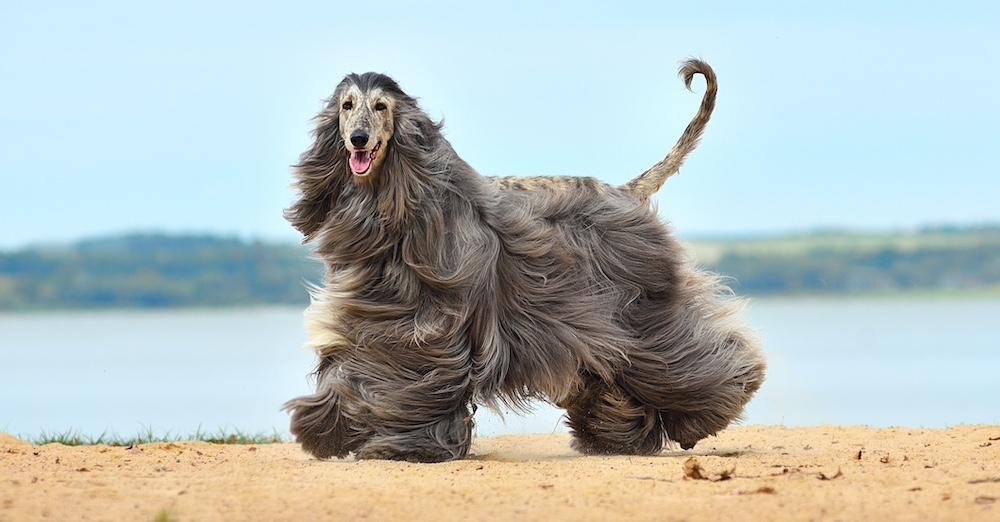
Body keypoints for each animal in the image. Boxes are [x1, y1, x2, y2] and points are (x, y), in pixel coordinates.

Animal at [282, 59, 764, 462]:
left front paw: (385, 442)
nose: (358, 139)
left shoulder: (425, 326)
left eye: (380, 106)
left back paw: (706, 411)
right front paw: (327, 428)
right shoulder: (378, 311)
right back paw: (617, 434)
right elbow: (347, 360)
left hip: (637, 306)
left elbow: (392, 372)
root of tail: (625, 192)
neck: (399, 202)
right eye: (347, 106)